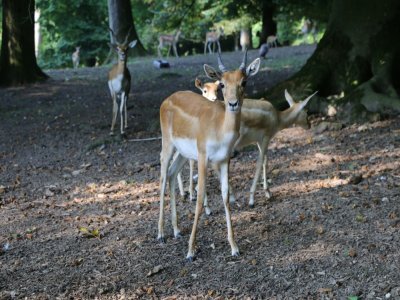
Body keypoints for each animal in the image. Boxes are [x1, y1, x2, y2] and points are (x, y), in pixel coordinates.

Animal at [158, 49, 260, 260]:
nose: (233, 103)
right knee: (163, 175)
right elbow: (199, 199)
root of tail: (166, 100)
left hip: (183, 153)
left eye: (244, 82)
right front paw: (190, 251)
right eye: (222, 84)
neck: (220, 128)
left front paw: (235, 247)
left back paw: (176, 230)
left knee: (171, 174)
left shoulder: (224, 160)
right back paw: (161, 234)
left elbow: (225, 196)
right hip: (168, 144)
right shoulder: (204, 157)